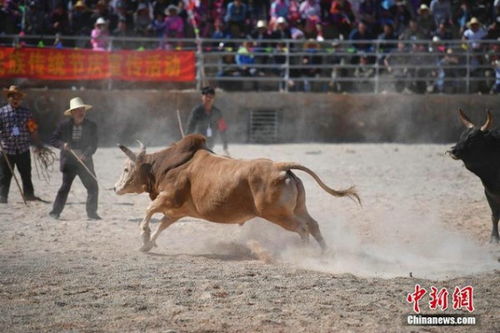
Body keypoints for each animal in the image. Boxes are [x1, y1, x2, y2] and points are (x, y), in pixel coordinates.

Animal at [115, 134, 362, 250]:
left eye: (126, 168)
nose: (116, 188)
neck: (169, 164)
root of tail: (279, 167)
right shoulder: (178, 211)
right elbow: (163, 224)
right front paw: (147, 245)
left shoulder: (168, 198)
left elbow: (149, 212)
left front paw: (144, 237)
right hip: (298, 208)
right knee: (313, 225)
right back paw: (324, 253)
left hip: (278, 215)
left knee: (302, 229)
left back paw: (305, 253)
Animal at [450, 109, 500, 241]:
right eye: (461, 136)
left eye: (472, 139)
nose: (453, 150)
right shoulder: (489, 193)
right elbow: (495, 216)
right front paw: (494, 238)